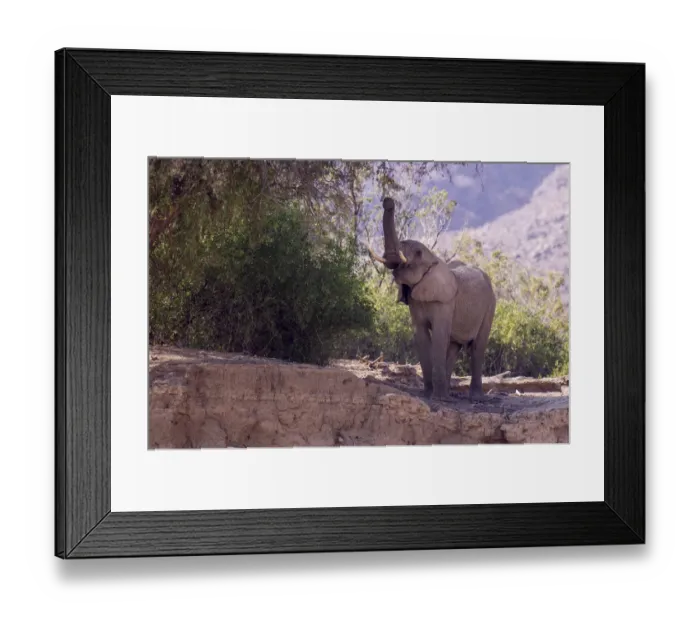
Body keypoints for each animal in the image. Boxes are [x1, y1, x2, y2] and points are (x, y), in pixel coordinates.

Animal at [368, 197, 497, 402]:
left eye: (418, 254)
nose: (388, 201)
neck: (434, 260)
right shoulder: (415, 302)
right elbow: (421, 337)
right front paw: (429, 394)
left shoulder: (445, 301)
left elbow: (438, 336)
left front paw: (437, 398)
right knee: (454, 346)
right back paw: (448, 393)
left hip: (490, 306)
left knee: (477, 347)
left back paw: (474, 397)